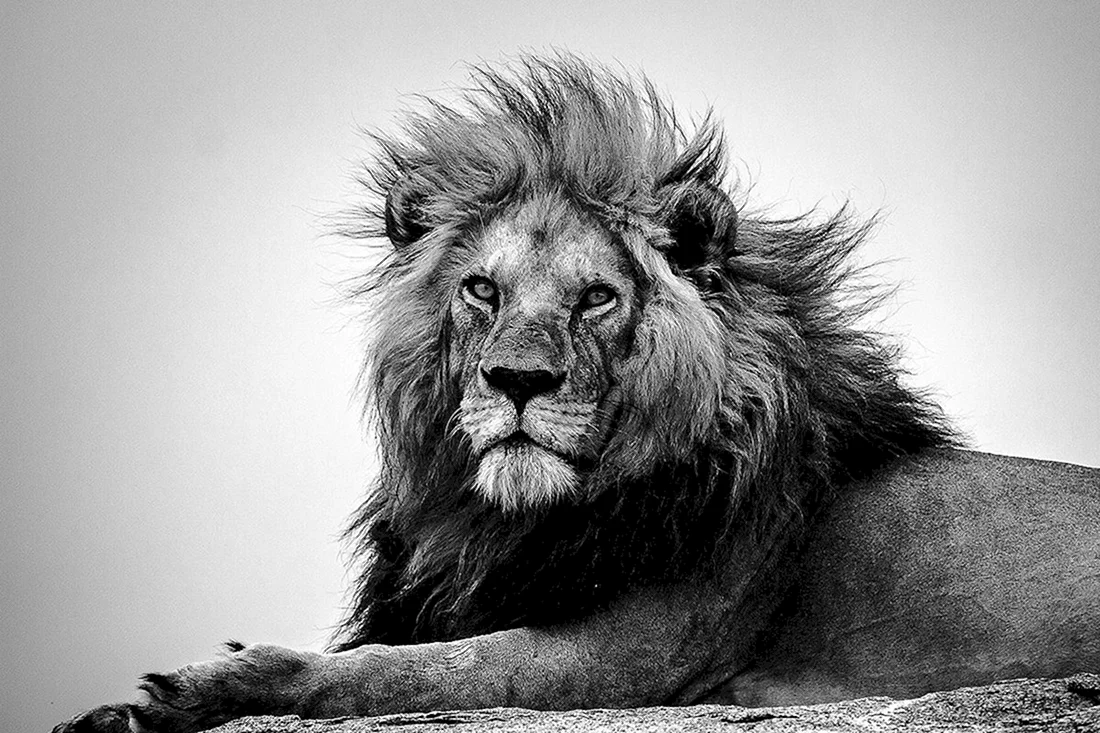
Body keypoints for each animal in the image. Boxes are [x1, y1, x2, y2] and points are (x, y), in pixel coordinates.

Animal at [56, 55, 1100, 733]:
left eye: (596, 296)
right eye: (482, 289)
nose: (518, 380)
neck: (503, 520)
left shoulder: (626, 659)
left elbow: (395, 672)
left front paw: (201, 687)